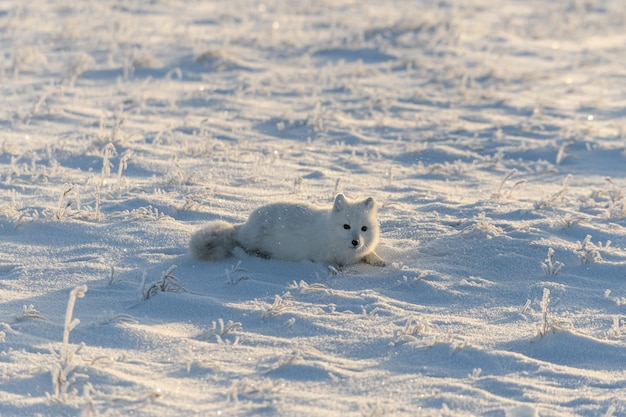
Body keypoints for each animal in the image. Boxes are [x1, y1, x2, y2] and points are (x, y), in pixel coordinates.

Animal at [189, 194, 386, 266]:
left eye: (364, 229)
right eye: (346, 226)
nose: (355, 241)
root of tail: (245, 226)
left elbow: (368, 253)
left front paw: (378, 260)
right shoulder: (320, 257)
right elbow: (329, 265)